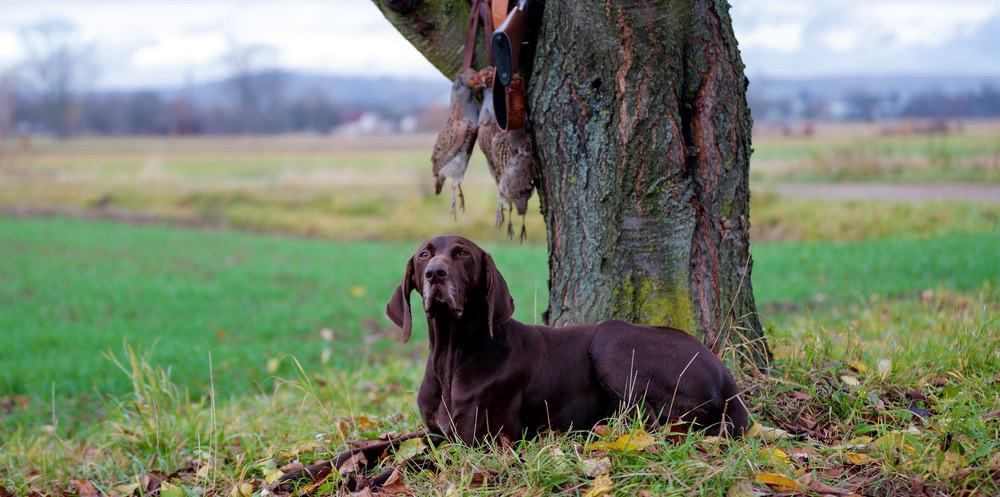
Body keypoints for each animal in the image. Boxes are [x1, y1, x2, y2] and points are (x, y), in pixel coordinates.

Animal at [386, 235, 748, 442]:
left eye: (463, 254)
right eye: (423, 255)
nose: (435, 273)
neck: (452, 353)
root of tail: (726, 378)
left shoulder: (479, 440)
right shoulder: (435, 433)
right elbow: (389, 446)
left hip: (611, 339)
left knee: (652, 420)